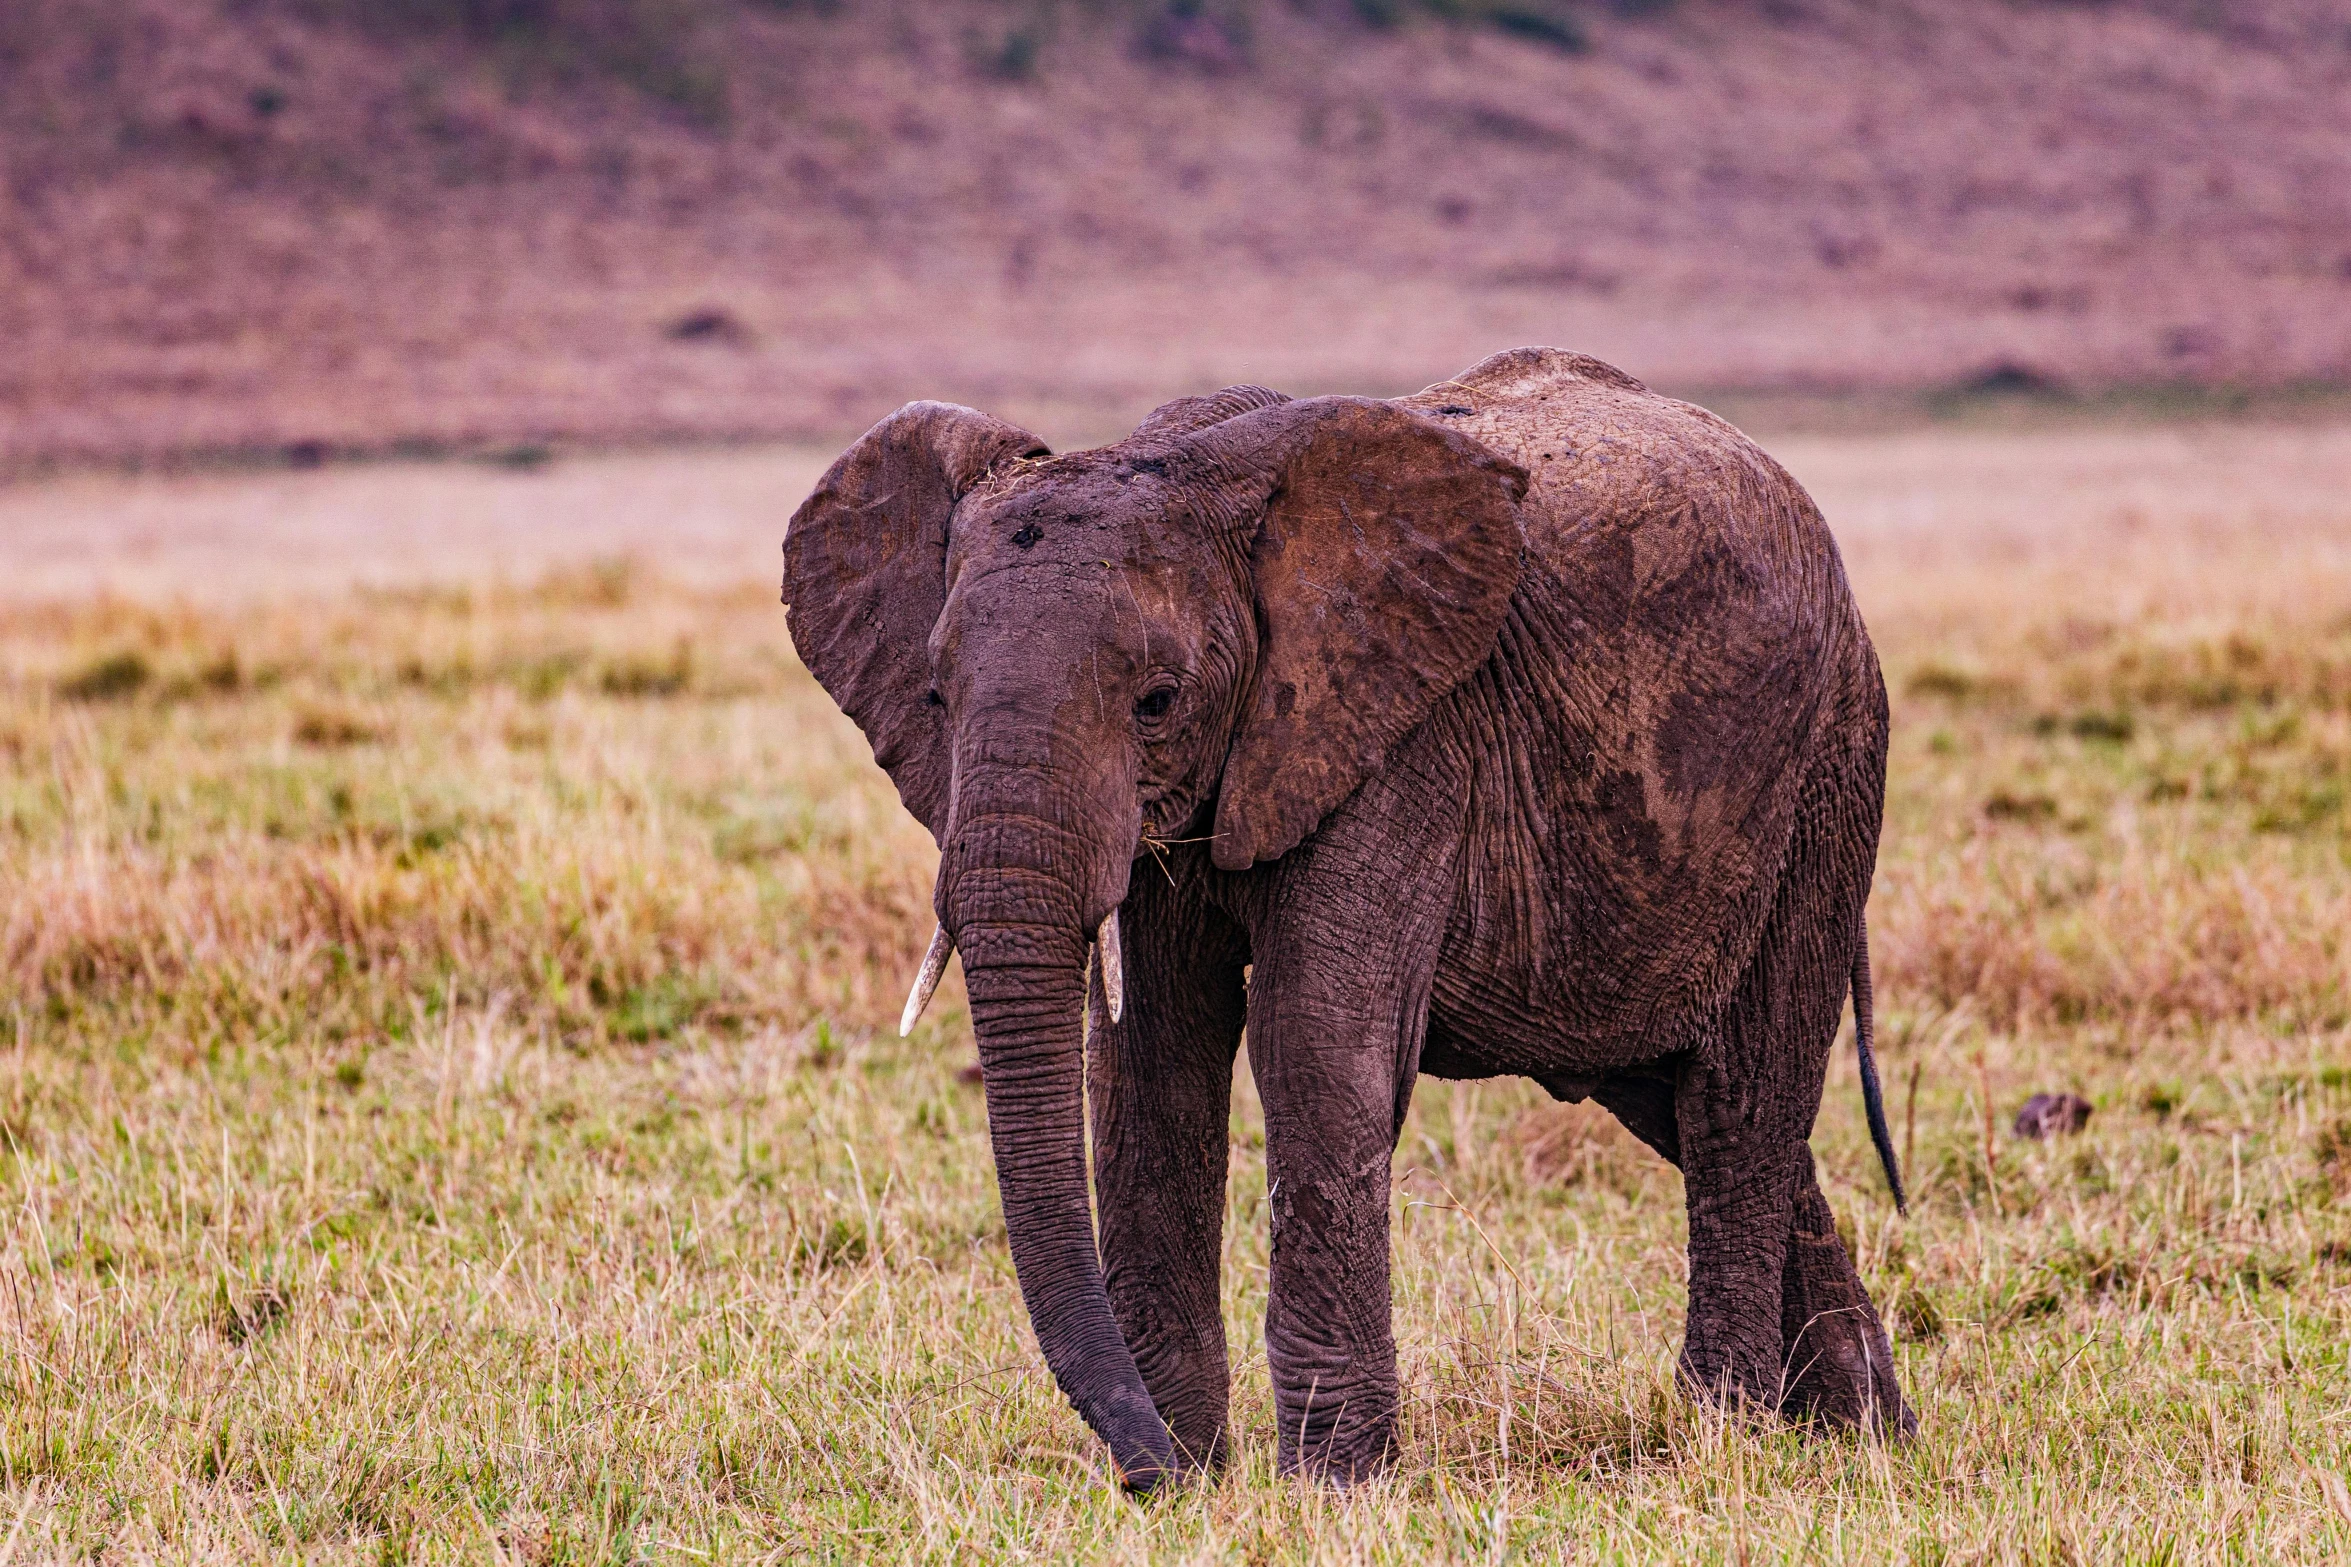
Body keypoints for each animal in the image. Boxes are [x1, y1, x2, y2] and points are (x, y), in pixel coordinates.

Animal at [775, 345, 1909, 1494]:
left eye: (1156, 700)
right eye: (934, 697)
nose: (1141, 1469)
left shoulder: (1402, 735)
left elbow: (1317, 1039)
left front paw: (1329, 1484)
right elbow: (1150, 1060)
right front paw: (1195, 1475)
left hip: (1824, 771)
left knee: (1739, 1096)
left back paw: (1723, 1432)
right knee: (1675, 1094)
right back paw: (1863, 1429)